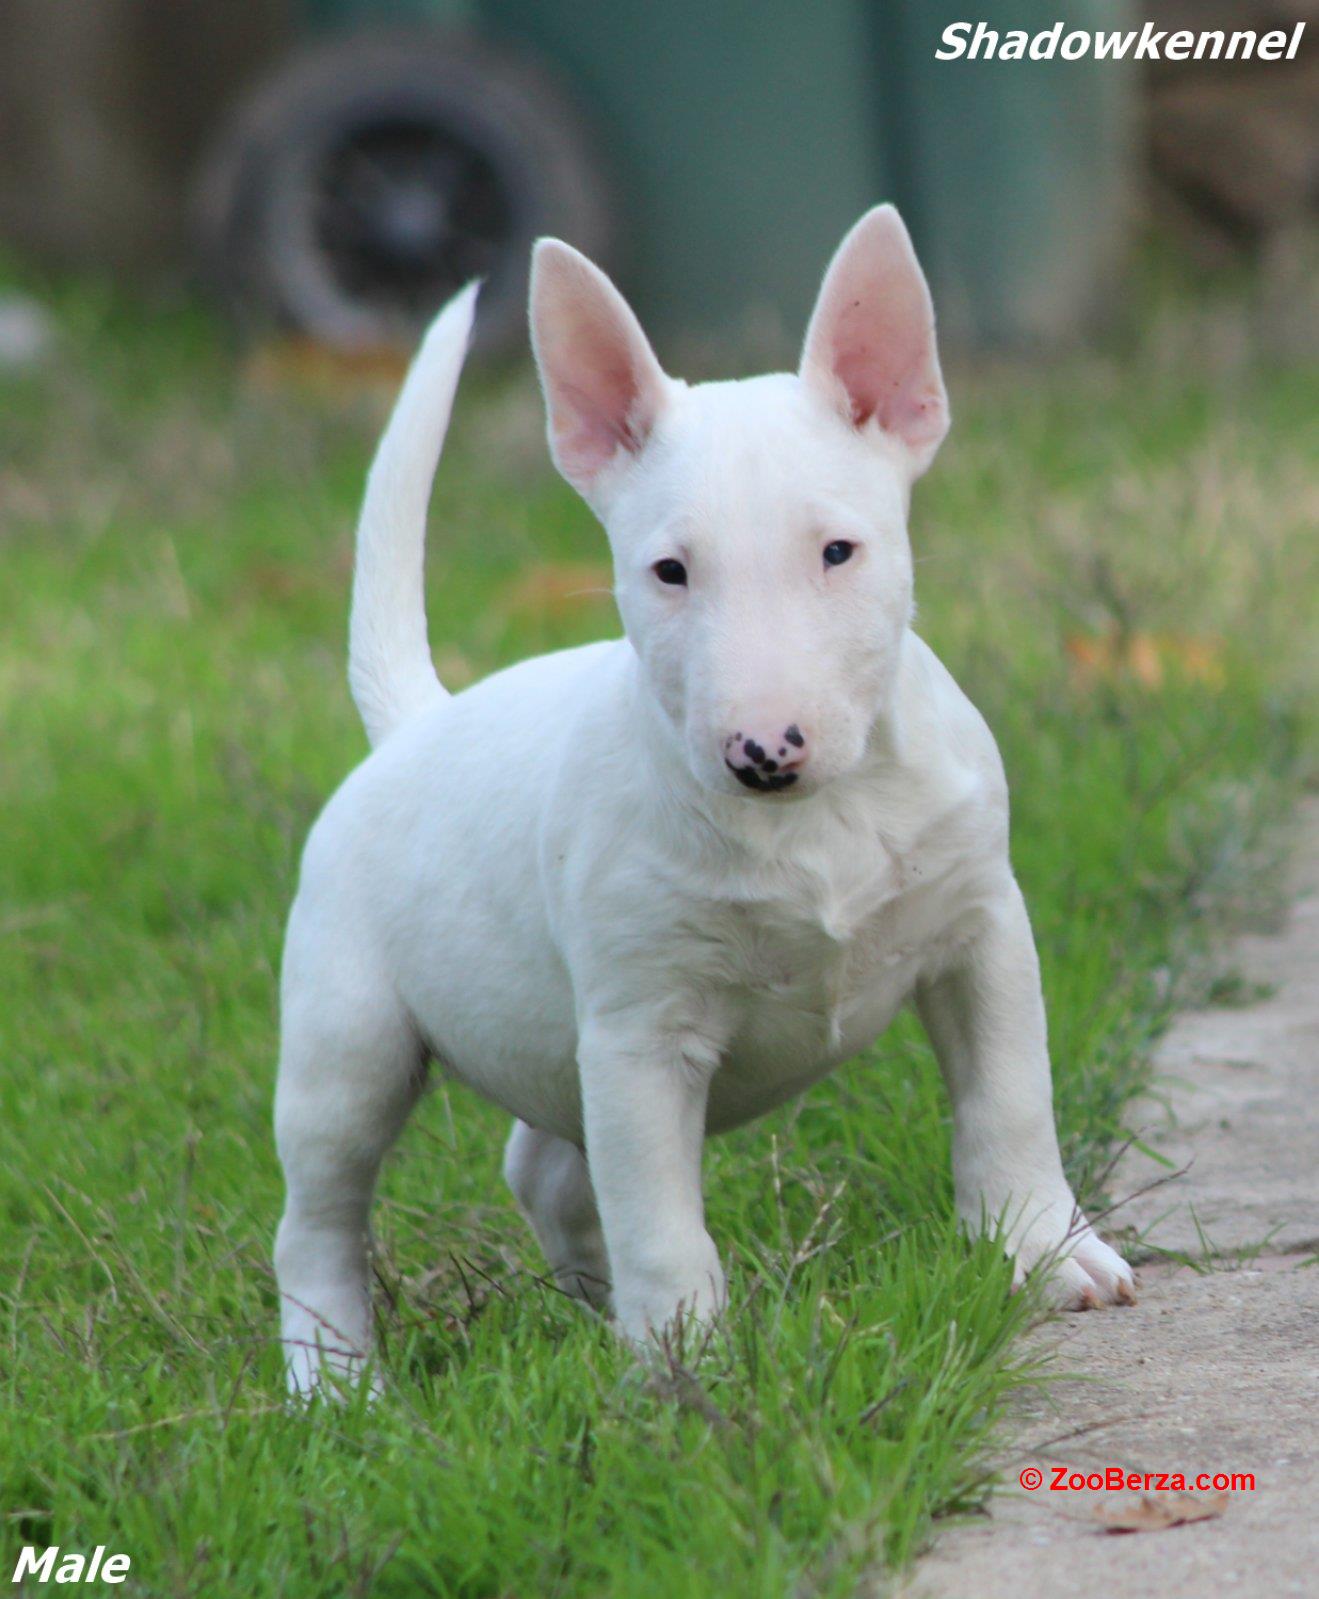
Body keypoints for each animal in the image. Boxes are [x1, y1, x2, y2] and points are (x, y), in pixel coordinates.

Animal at [270, 206, 1131, 1394]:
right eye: (668, 571)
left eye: (838, 550)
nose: (762, 752)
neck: (811, 820)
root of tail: (412, 723)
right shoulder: (640, 1031)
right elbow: (657, 1211)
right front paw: (684, 1362)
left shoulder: (982, 932)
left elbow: (1008, 1099)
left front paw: (1046, 1254)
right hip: (345, 1032)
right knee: (319, 1213)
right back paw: (335, 1382)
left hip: (537, 1048)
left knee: (541, 1167)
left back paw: (590, 1306)